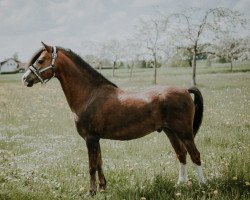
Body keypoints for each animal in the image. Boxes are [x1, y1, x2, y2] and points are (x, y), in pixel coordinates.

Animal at [22, 42, 205, 195]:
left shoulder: (90, 138)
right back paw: (180, 184)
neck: (90, 95)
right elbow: (99, 163)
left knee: (195, 155)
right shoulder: (96, 138)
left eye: (40, 60)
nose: (25, 78)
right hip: (170, 131)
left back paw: (202, 186)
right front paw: (102, 188)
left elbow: (92, 166)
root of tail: (185, 90)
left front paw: (91, 192)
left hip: (184, 132)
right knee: (181, 154)